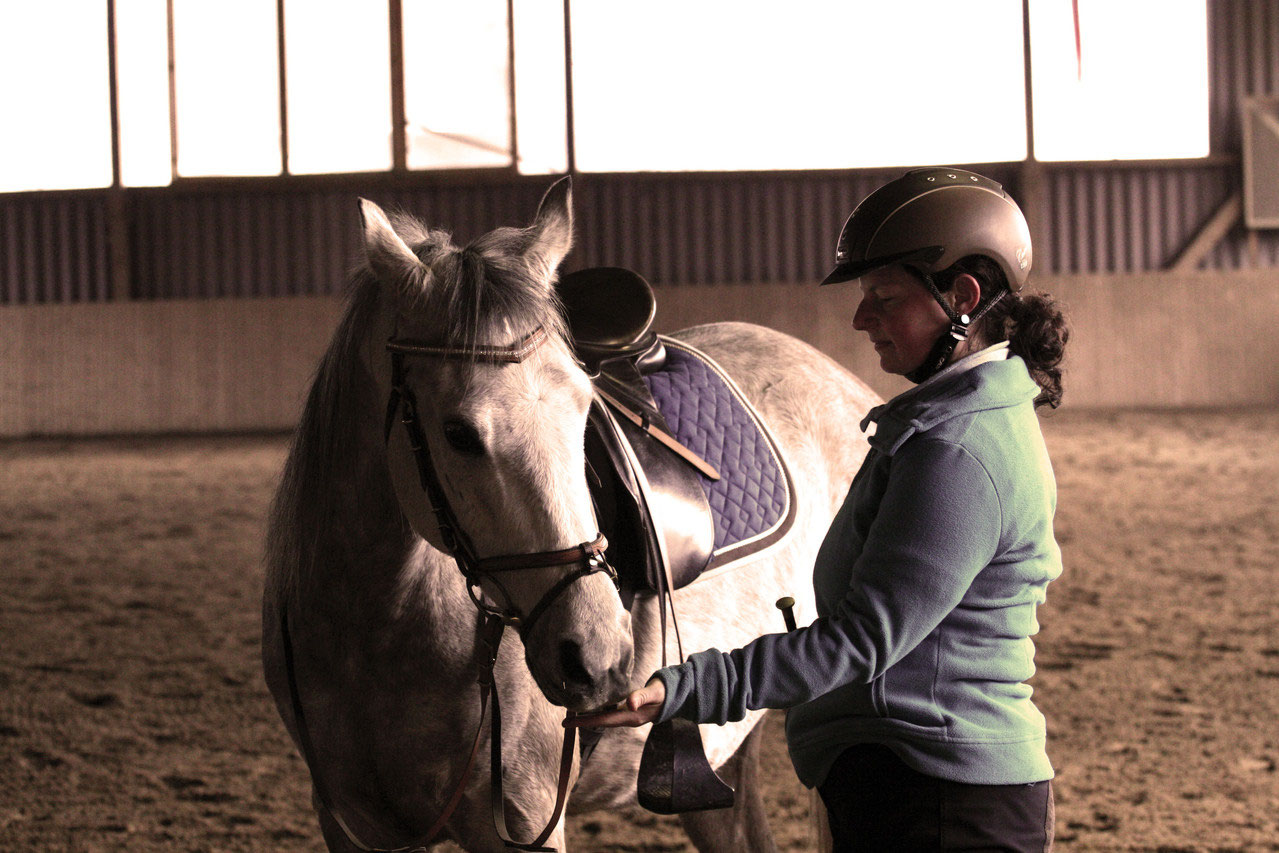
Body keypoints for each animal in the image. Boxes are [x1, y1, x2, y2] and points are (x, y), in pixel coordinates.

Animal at [261, 177, 880, 852]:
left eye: (585, 411)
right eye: (457, 433)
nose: (597, 655)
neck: (372, 630)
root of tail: (844, 382)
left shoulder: (525, 816)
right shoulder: (351, 823)